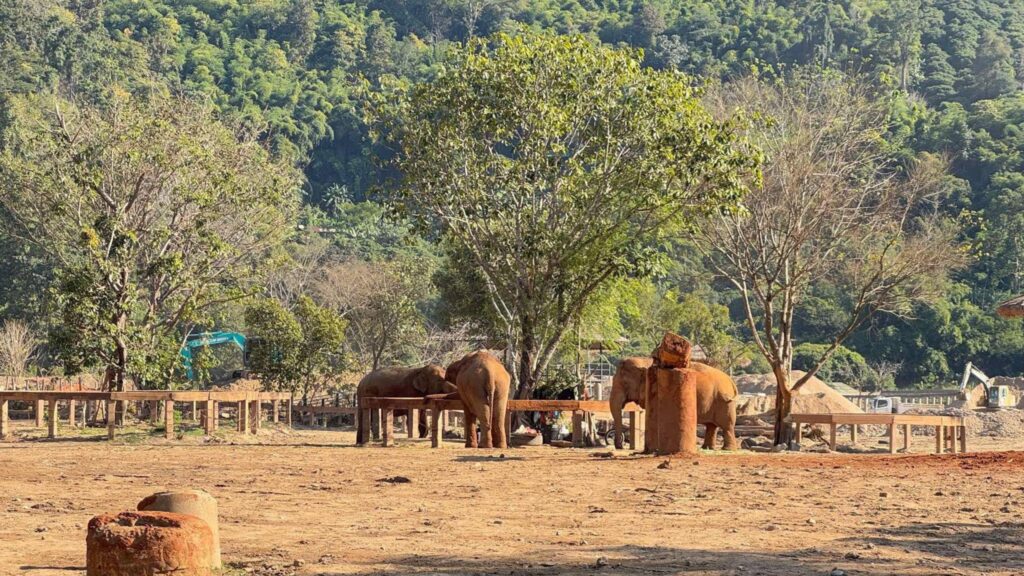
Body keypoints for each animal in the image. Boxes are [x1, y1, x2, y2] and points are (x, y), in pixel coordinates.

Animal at [609, 357, 739, 451]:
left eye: (625, 384)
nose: (620, 447)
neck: (644, 360)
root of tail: (731, 381)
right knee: (711, 426)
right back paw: (707, 448)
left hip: (724, 402)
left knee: (726, 425)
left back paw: (727, 449)